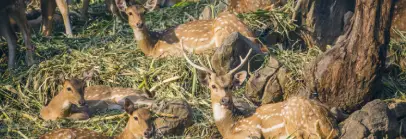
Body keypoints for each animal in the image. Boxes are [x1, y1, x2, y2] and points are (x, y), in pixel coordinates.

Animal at [114, 0, 268, 58]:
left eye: (144, 12)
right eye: (129, 13)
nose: (139, 24)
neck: (152, 47)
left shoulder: (172, 50)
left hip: (223, 31)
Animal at [182, 44, 340, 138]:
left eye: (231, 86)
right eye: (213, 86)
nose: (224, 99)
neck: (229, 128)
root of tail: (328, 125)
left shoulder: (251, 133)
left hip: (296, 122)